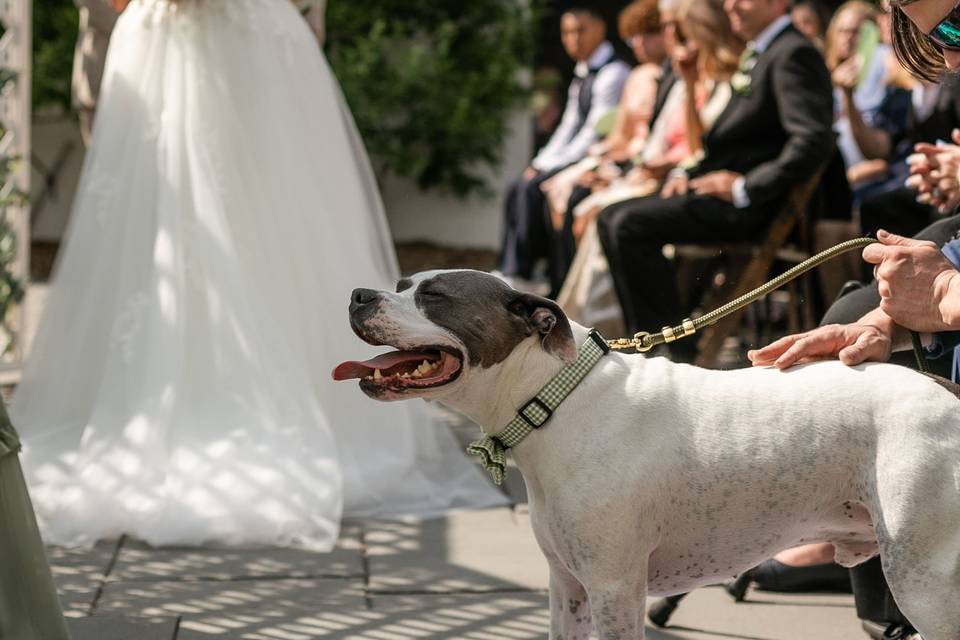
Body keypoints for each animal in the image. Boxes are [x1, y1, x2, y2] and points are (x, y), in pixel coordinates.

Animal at [334, 268, 960, 636]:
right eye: (401, 282)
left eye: (433, 297)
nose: (358, 295)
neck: (554, 399)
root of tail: (943, 389)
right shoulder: (568, 587)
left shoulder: (614, 587)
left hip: (925, 579)